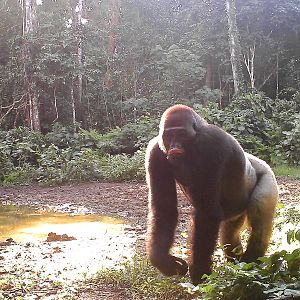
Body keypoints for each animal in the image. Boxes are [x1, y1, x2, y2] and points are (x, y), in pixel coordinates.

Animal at [145, 104, 278, 284]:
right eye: (169, 135)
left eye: (181, 134)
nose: (174, 146)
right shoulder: (155, 153)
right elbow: (164, 209)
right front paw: (163, 261)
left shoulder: (211, 144)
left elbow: (208, 213)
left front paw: (199, 274)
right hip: (235, 214)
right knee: (229, 236)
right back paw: (237, 266)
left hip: (268, 176)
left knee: (259, 221)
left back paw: (251, 267)